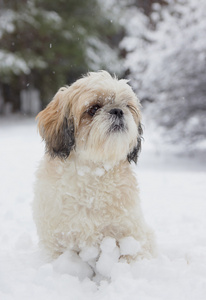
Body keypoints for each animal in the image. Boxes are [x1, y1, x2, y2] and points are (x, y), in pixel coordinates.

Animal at [32, 70, 154, 260]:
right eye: (94, 108)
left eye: (127, 106)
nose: (118, 110)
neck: (93, 172)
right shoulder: (57, 239)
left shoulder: (130, 234)